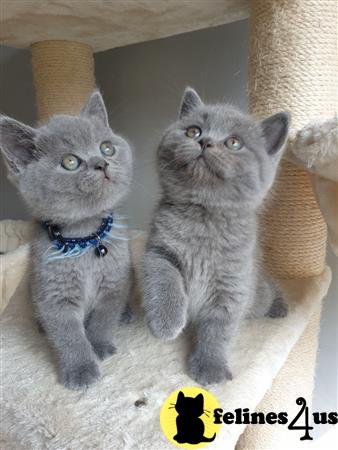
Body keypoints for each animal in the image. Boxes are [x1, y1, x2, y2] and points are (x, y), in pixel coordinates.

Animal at [0, 92, 133, 390]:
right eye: (70, 162)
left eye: (106, 148)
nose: (101, 163)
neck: (85, 237)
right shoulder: (53, 293)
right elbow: (67, 335)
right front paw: (81, 369)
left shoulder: (115, 282)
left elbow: (105, 317)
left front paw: (99, 346)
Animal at [141, 89, 290, 386]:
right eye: (193, 131)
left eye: (234, 142)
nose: (205, 141)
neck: (204, 216)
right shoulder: (159, 249)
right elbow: (164, 279)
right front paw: (166, 322)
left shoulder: (233, 283)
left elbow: (219, 328)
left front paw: (210, 367)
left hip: (256, 294)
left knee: (267, 290)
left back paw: (279, 306)